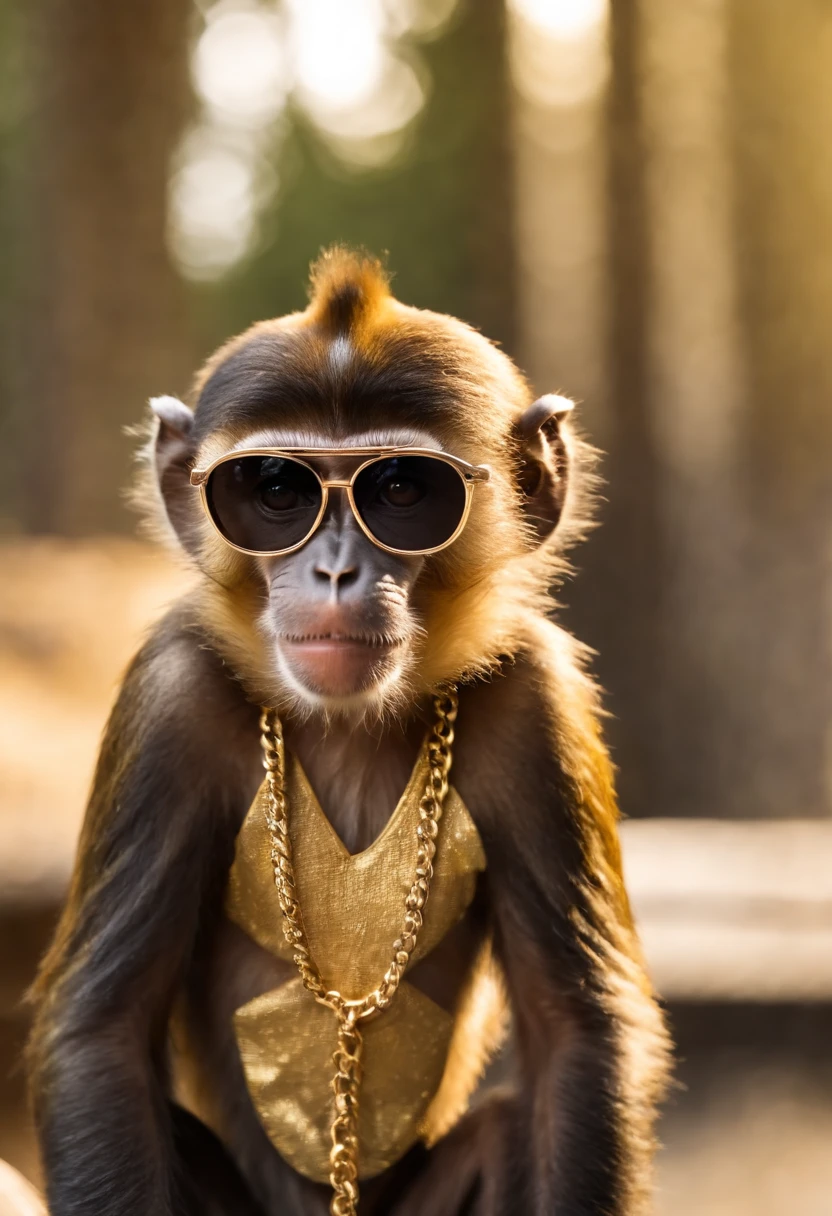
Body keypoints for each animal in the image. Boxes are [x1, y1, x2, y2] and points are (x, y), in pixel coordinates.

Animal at [25, 247, 670, 1216]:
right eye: (275, 491)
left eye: (402, 490)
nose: (335, 569)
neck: (349, 723)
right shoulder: (169, 697)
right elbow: (101, 1035)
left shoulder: (540, 703)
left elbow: (578, 1031)